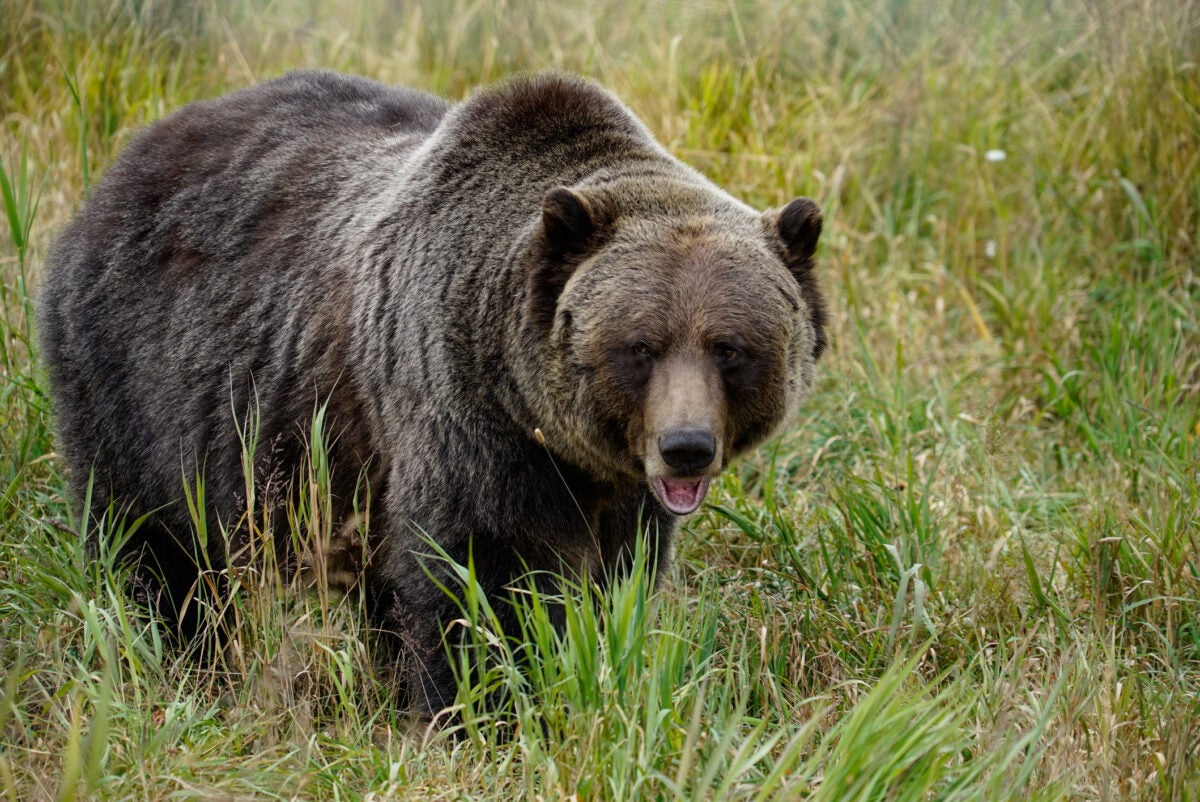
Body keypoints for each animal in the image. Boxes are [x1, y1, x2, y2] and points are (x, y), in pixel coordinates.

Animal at [39, 70, 825, 715]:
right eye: (640, 347)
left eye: (731, 348)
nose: (686, 447)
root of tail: (126, 160)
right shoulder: (461, 420)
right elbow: (474, 581)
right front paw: (486, 707)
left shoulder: (614, 489)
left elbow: (613, 581)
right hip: (136, 378)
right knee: (152, 544)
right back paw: (182, 662)